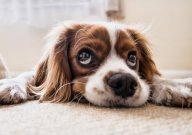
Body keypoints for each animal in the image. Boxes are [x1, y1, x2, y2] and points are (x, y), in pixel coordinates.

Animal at [0, 21, 192, 107]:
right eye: (84, 56)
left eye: (132, 58)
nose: (125, 82)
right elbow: (27, 76)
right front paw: (10, 85)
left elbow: (155, 78)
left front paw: (174, 87)